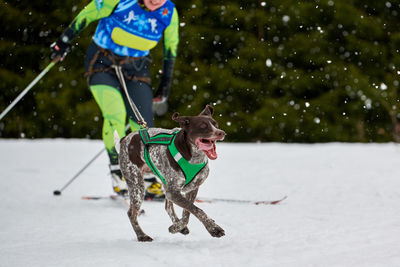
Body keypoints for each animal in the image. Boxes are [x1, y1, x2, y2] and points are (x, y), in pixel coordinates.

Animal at [115, 105, 225, 243]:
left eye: (216, 124)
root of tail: (125, 139)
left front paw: (178, 226)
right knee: (132, 213)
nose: (221, 132)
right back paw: (141, 235)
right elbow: (197, 210)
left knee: (167, 206)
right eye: (203, 126)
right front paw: (214, 229)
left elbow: (187, 213)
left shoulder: (191, 189)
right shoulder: (174, 192)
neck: (194, 156)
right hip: (137, 186)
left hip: (164, 184)